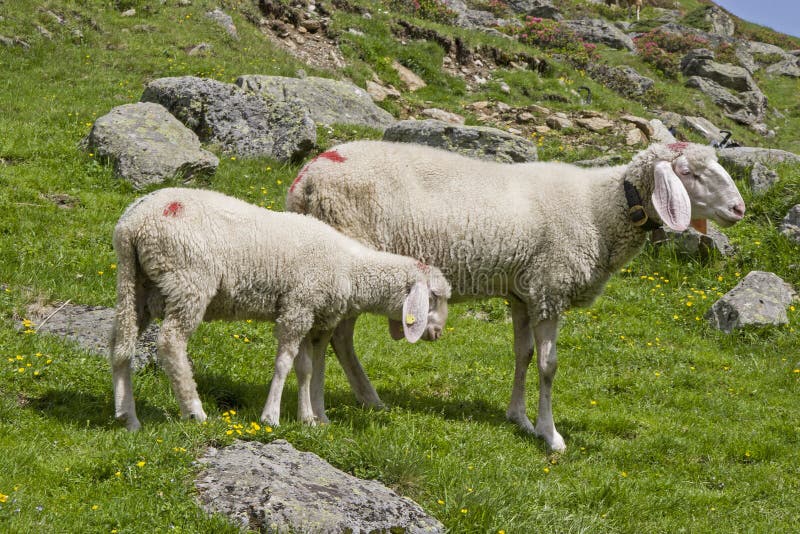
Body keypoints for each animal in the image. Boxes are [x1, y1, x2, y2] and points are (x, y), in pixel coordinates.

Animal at [109, 187, 451, 431]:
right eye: (434, 296)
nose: (437, 332)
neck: (350, 268)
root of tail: (133, 224)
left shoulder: (316, 319)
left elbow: (311, 369)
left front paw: (314, 418)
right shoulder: (297, 308)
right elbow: (286, 364)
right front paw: (271, 416)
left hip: (138, 285)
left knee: (121, 344)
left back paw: (128, 416)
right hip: (188, 280)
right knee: (170, 343)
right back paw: (194, 411)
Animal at [286, 142, 745, 451]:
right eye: (690, 173)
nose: (739, 209)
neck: (601, 209)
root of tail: (310, 174)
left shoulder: (525, 293)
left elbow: (522, 356)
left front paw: (519, 418)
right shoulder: (550, 288)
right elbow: (548, 365)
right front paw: (550, 433)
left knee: (338, 339)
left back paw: (367, 400)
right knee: (331, 338)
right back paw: (323, 413)